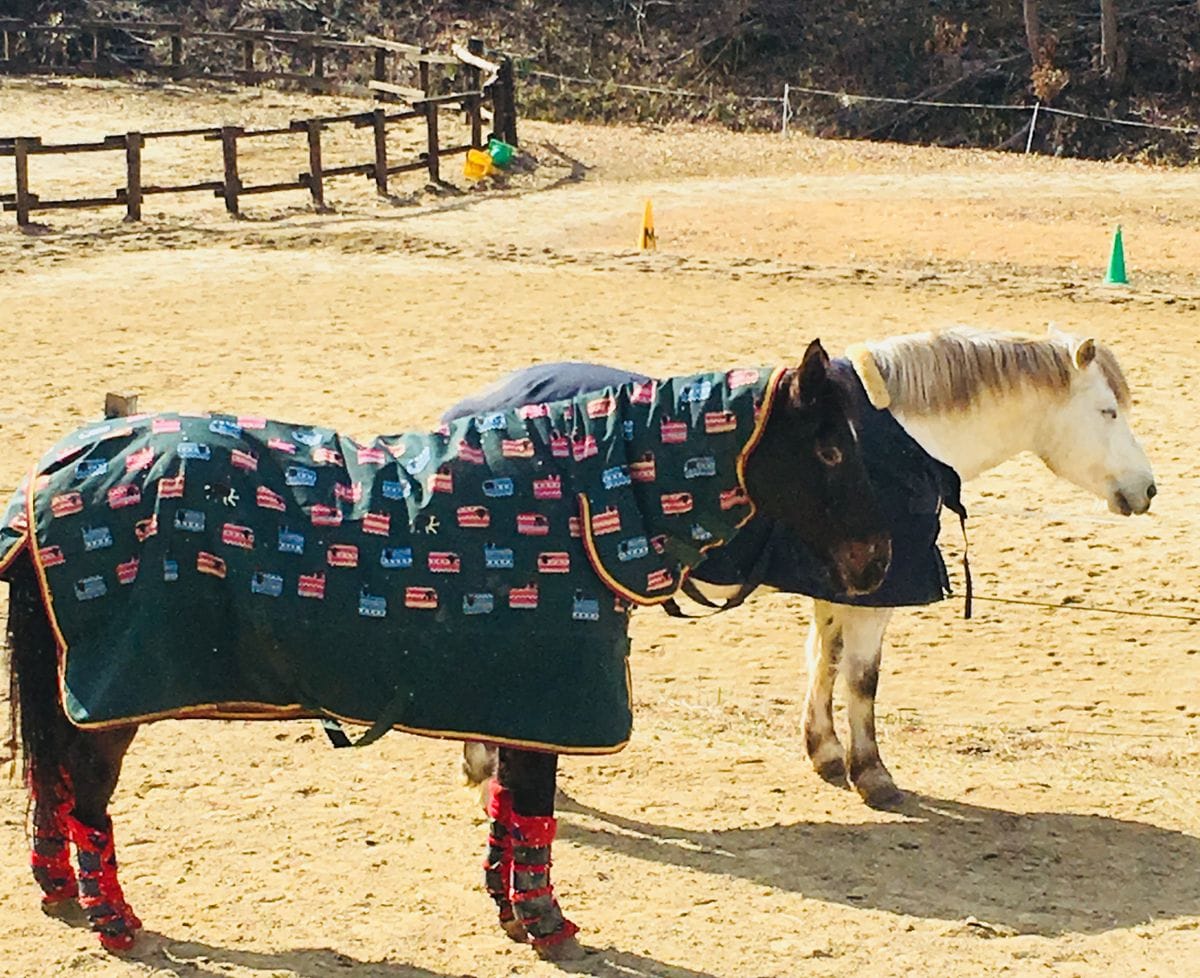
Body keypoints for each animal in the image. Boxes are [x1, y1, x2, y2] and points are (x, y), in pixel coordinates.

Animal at [2, 340, 892, 960]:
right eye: (829, 450)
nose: (877, 562)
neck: (579, 508)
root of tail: (55, 473)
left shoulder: (518, 708)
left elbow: (512, 810)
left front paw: (511, 912)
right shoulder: (547, 702)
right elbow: (533, 807)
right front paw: (549, 924)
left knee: (51, 780)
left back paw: (61, 892)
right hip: (112, 705)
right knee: (86, 797)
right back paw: (117, 923)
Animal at [448, 324, 1152, 806]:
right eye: (1107, 411)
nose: (1147, 489)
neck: (903, 441)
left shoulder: (843, 586)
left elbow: (825, 662)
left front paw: (826, 753)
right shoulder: (876, 596)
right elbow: (862, 680)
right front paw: (873, 774)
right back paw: (484, 769)